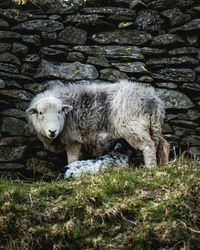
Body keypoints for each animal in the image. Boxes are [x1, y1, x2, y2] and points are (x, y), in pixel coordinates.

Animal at [26, 80, 169, 168]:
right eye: (40, 113)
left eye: (60, 111)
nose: (52, 131)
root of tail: (152, 99)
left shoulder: (73, 140)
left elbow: (72, 160)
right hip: (154, 126)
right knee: (163, 144)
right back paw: (164, 164)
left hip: (133, 126)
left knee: (148, 145)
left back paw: (150, 168)